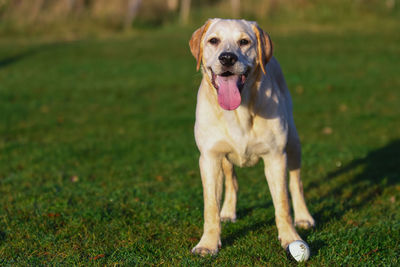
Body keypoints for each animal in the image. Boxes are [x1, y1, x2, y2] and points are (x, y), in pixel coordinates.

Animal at [189, 18, 314, 258]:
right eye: (213, 40)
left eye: (244, 41)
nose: (227, 58)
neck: (238, 111)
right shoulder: (209, 157)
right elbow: (210, 206)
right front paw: (208, 244)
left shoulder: (276, 157)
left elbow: (283, 203)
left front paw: (290, 238)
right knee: (232, 180)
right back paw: (228, 211)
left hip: (293, 143)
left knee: (296, 183)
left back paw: (304, 217)